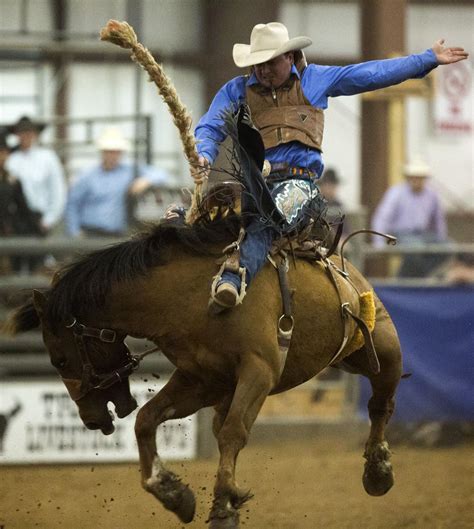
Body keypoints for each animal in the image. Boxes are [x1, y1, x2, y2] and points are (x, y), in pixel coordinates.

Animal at [2, 216, 404, 528]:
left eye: (59, 360)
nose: (89, 420)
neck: (188, 299)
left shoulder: (259, 370)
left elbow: (233, 433)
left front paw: (224, 505)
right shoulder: (202, 380)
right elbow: (147, 420)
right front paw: (174, 494)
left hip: (383, 348)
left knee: (380, 404)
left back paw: (379, 471)